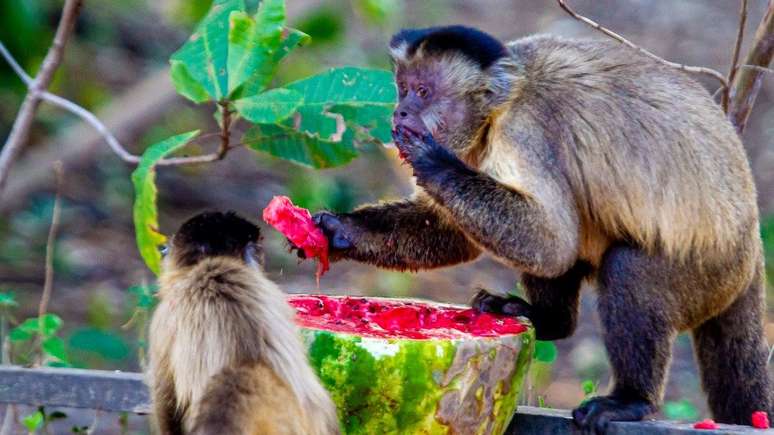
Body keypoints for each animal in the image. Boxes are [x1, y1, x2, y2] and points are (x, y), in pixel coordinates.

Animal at [296, 26, 768, 432]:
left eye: (423, 92)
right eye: (403, 88)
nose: (401, 111)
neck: (501, 101)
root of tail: (750, 242)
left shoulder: (522, 131)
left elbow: (550, 244)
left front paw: (432, 162)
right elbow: (458, 233)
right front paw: (337, 231)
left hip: (707, 275)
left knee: (623, 266)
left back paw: (630, 400)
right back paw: (549, 319)